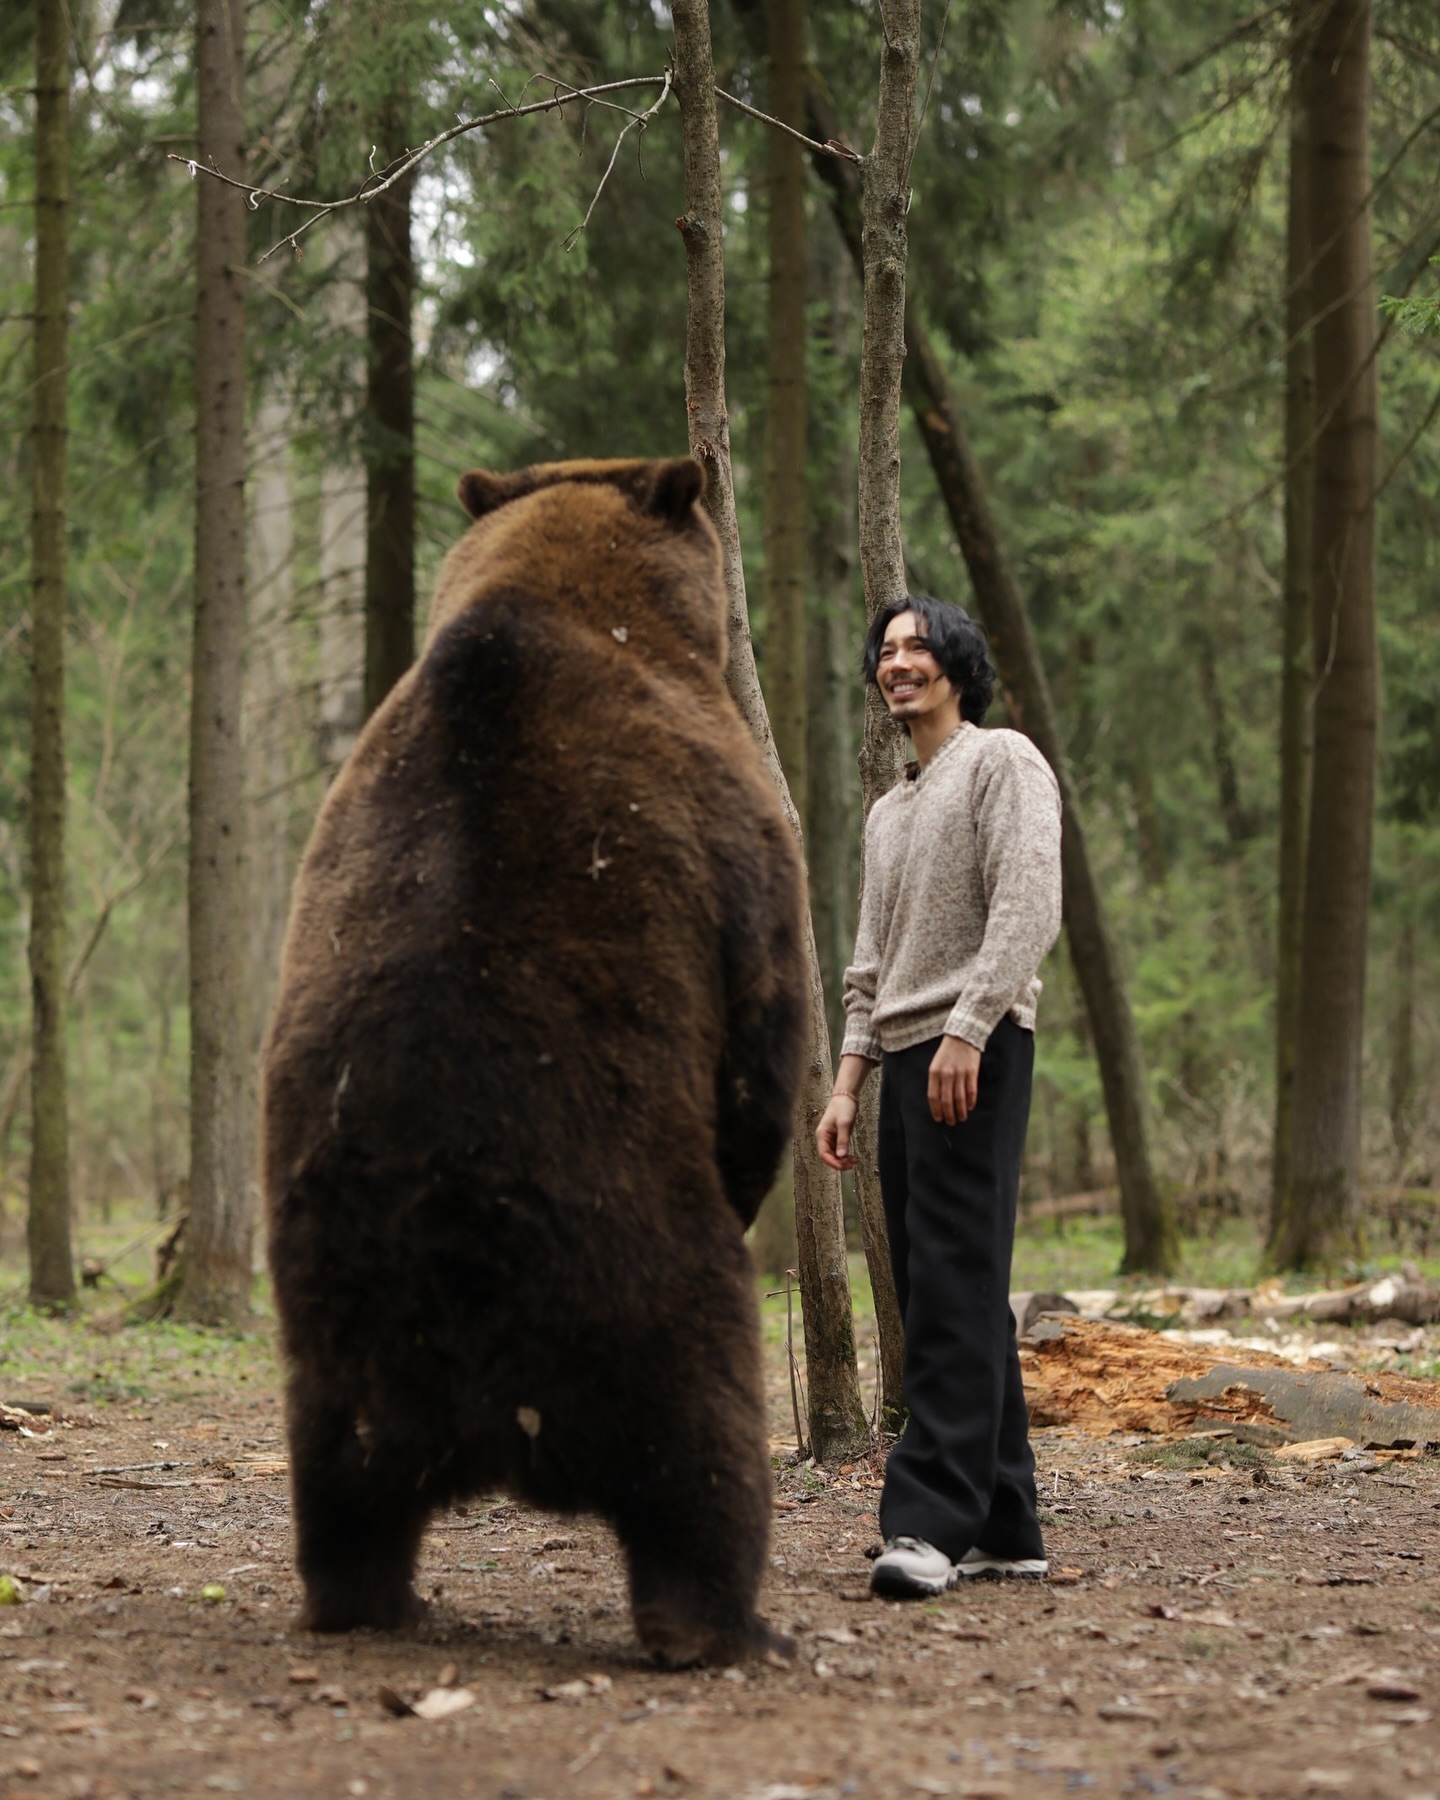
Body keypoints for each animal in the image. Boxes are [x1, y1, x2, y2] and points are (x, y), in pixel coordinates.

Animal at [264, 457, 802, 1663]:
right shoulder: (730, 812)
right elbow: (763, 1035)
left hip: (337, 1323)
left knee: (343, 1484)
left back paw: (369, 1595)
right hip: (646, 1285)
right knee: (705, 1458)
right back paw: (726, 1623)